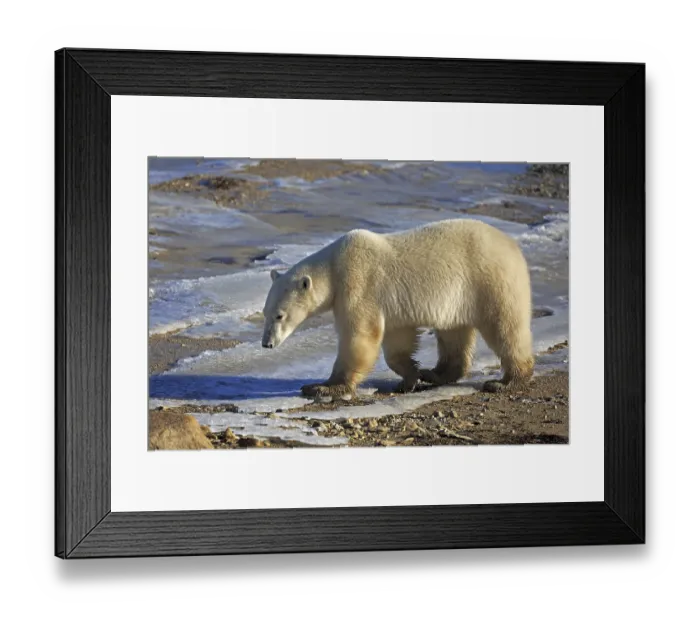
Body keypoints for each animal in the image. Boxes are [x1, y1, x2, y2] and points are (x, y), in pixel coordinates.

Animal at [261, 218, 534, 397]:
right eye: (265, 314)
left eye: (279, 315)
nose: (266, 344)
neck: (334, 267)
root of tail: (512, 245)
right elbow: (396, 339)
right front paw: (411, 376)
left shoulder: (359, 284)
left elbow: (359, 336)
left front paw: (322, 386)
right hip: (460, 295)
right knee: (454, 332)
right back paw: (435, 373)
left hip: (490, 280)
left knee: (505, 327)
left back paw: (507, 381)